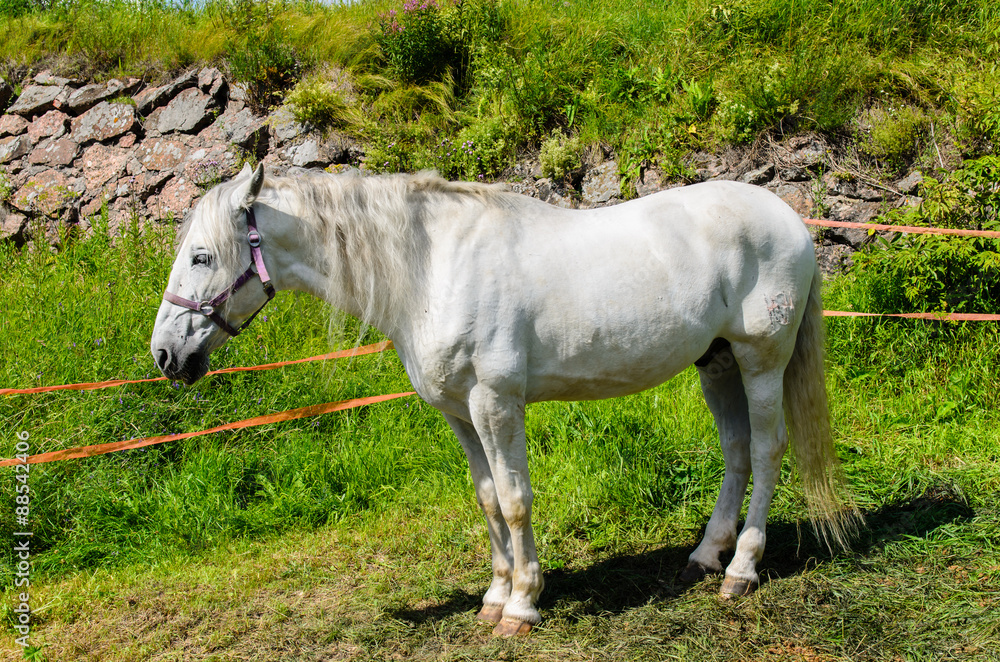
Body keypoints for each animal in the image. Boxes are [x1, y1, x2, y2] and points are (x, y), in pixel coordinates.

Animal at [152, 163, 856, 636]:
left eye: (202, 255)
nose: (165, 356)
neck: (431, 268)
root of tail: (790, 218)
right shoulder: (459, 412)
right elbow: (488, 497)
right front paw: (493, 596)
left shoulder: (496, 403)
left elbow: (516, 501)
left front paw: (521, 604)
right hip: (718, 363)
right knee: (735, 452)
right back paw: (706, 556)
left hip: (762, 359)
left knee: (766, 451)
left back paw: (741, 570)